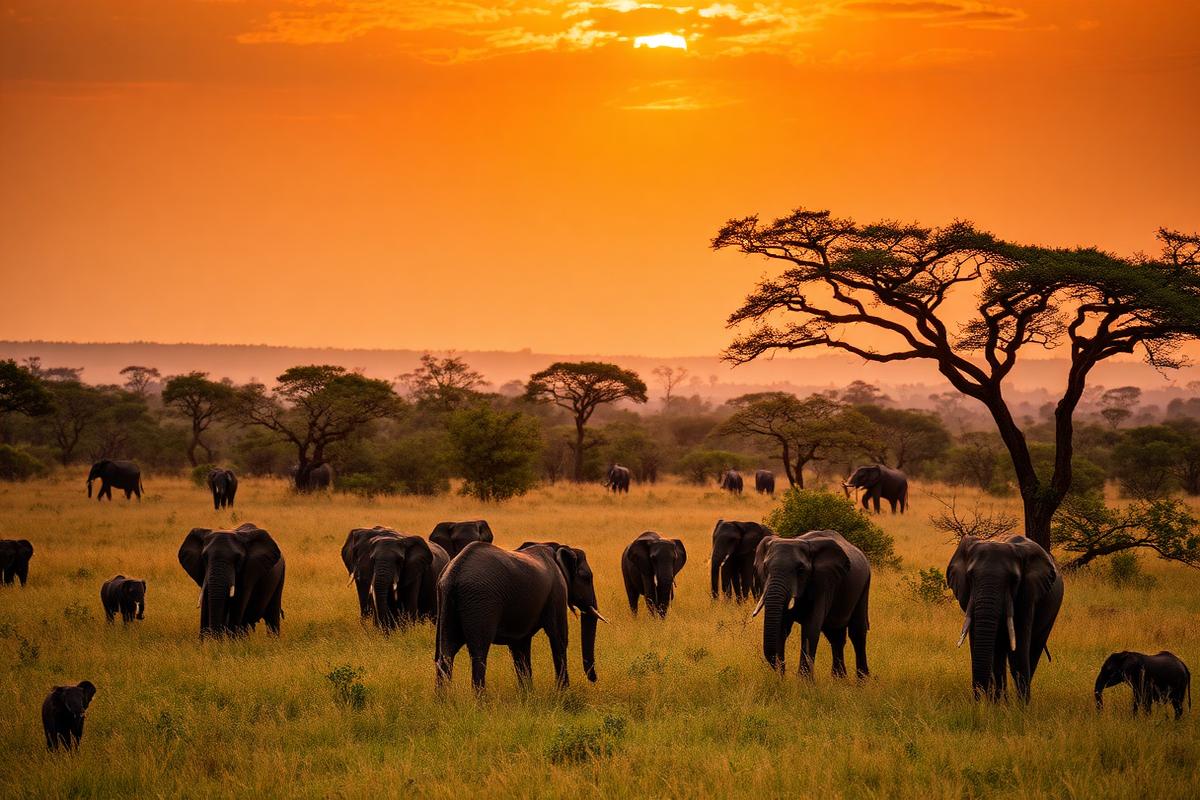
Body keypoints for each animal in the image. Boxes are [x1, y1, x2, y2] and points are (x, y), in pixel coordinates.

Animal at [435, 541, 605, 692]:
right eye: (587, 577)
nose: (594, 679)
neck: (559, 549)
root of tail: (454, 572)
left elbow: (520, 646)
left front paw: (527, 695)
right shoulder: (557, 591)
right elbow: (559, 637)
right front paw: (563, 693)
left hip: (447, 603)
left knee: (446, 652)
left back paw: (443, 700)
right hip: (480, 602)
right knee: (478, 653)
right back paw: (481, 702)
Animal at [752, 531, 872, 678]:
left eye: (800, 569)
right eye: (765, 567)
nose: (782, 673)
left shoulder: (822, 583)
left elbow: (810, 628)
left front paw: (803, 681)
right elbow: (781, 627)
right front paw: (780, 679)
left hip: (864, 584)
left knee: (857, 633)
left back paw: (862, 681)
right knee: (835, 636)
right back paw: (839, 680)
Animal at [947, 534, 1063, 702]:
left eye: (1014, 579)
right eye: (970, 576)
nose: (979, 699)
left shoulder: (1027, 594)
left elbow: (1018, 653)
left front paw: (1021, 707)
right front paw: (994, 705)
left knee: (1033, 650)